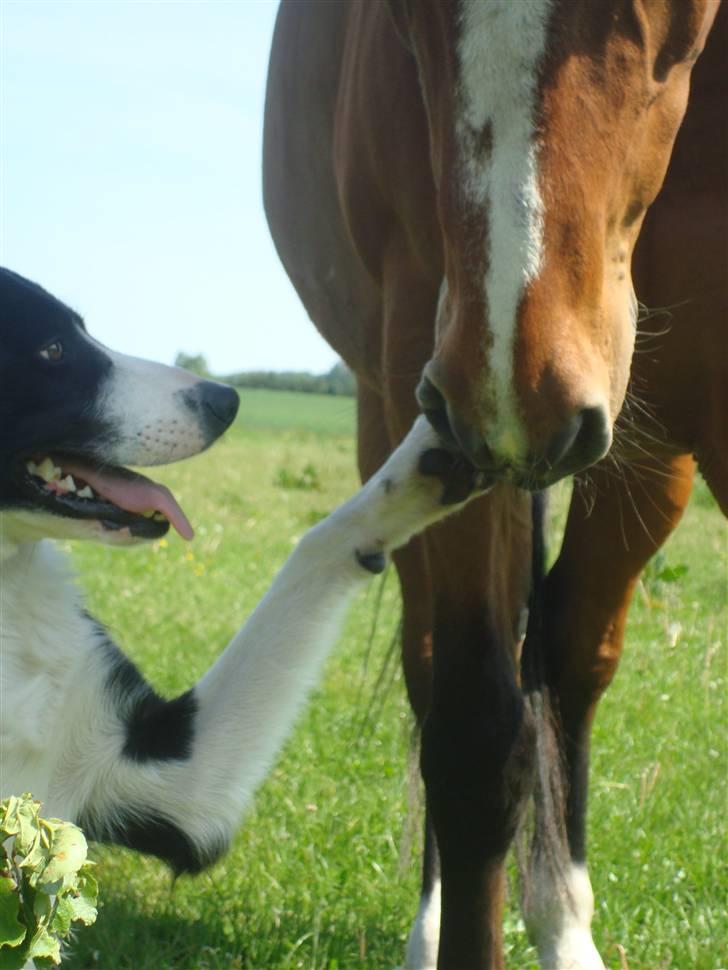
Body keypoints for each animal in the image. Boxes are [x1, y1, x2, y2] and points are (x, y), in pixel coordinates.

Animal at [262, 3, 724, 964]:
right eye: (398, 18)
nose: (521, 393)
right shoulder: (431, 374)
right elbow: (476, 737)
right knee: (436, 665)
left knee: (572, 653)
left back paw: (563, 923)